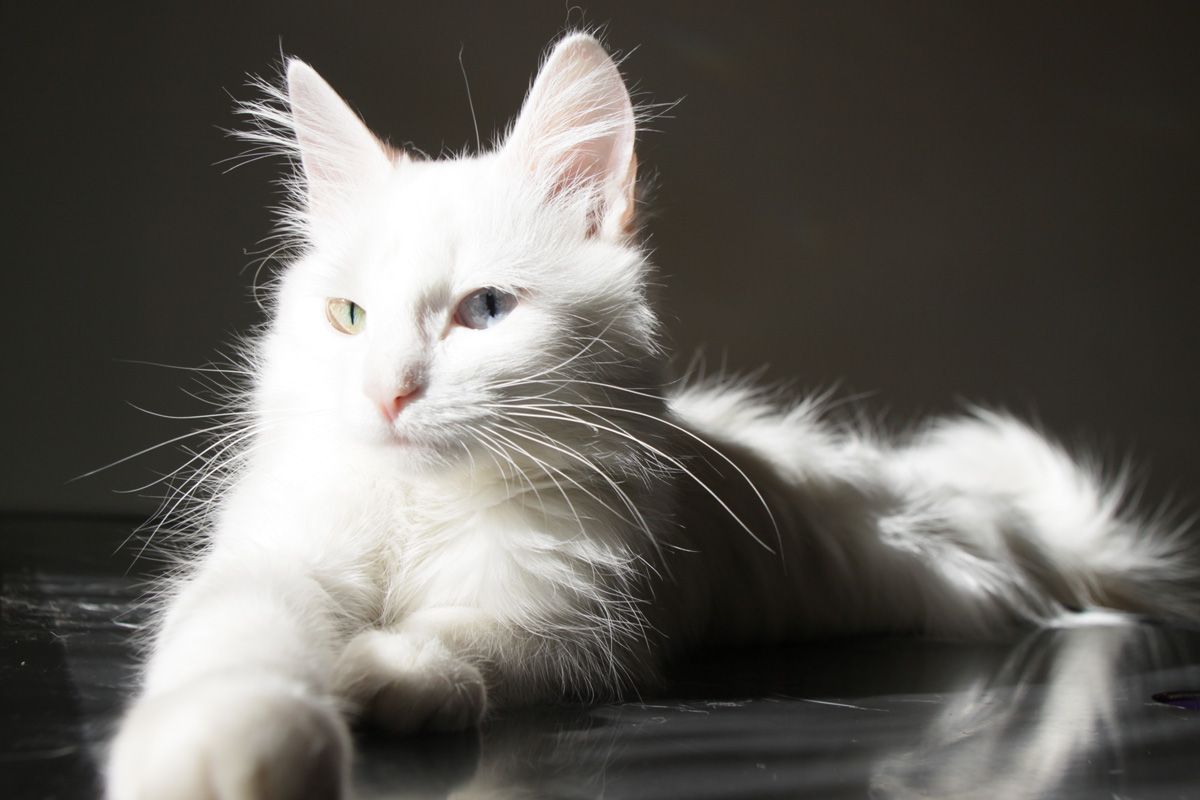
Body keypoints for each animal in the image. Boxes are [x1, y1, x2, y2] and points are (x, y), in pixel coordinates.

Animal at [108, 32, 1195, 800]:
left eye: (485, 311)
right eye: (348, 317)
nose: (388, 393)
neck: (423, 509)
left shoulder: (576, 616)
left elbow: (464, 639)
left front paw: (382, 671)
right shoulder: (278, 557)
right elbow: (240, 650)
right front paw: (230, 751)